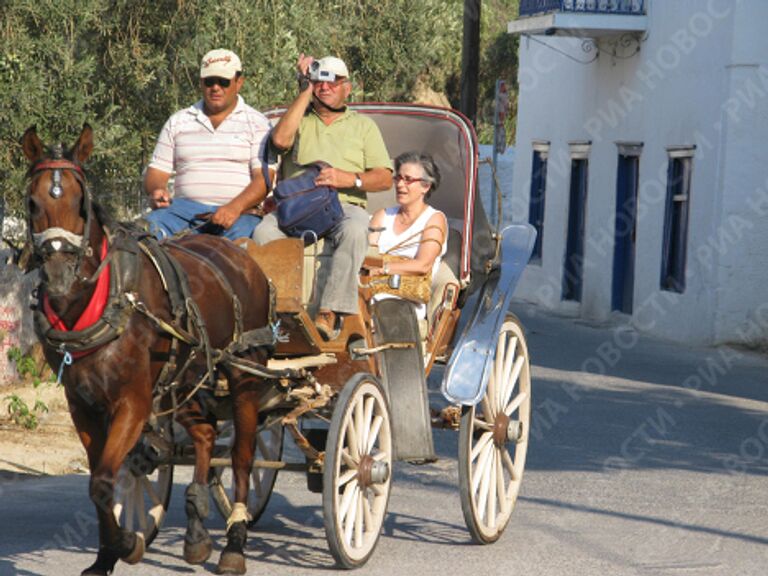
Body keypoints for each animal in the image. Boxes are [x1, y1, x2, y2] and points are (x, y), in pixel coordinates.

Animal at [23, 124, 272, 572]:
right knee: (206, 435)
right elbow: (100, 481)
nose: (59, 276)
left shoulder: (133, 402)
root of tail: (237, 253)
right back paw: (196, 531)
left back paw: (234, 543)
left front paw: (123, 543)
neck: (104, 301)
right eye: (33, 203)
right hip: (185, 379)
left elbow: (105, 480)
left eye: (81, 203)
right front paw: (108, 553)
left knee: (243, 457)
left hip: (244, 374)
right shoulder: (81, 404)